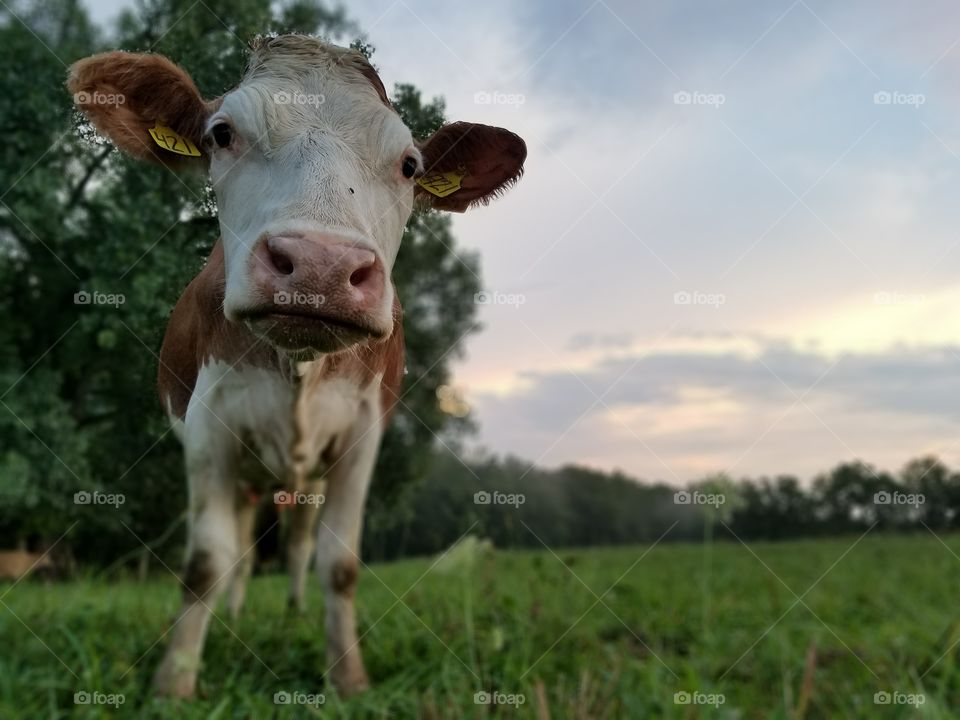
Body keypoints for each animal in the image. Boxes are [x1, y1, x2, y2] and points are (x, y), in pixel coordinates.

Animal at [69, 33, 524, 696]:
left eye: (410, 165)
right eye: (222, 133)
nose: (320, 265)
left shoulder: (362, 432)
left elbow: (339, 563)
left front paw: (349, 678)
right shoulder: (208, 427)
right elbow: (206, 560)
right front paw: (174, 682)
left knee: (299, 544)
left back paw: (292, 612)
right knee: (239, 548)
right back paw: (233, 617)